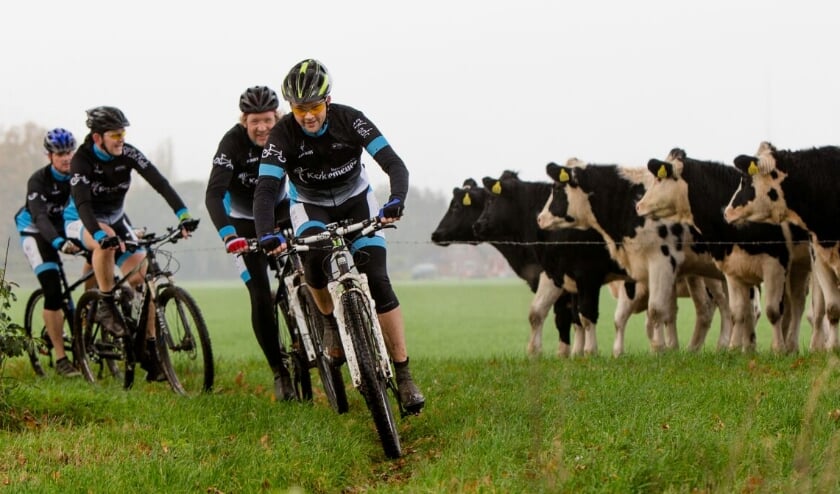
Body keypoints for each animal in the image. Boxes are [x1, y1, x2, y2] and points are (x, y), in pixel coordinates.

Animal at [537, 159, 733, 352]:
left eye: (556, 189)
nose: (540, 218)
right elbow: (662, 314)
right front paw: (667, 348)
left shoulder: (660, 262)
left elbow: (654, 311)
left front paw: (659, 350)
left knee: (721, 307)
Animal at [636, 148, 811, 353]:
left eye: (659, 179)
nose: (638, 206)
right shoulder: (734, 269)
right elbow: (738, 312)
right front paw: (736, 349)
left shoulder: (775, 265)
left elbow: (773, 311)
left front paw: (777, 350)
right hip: (799, 267)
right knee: (797, 302)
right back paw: (792, 347)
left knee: (799, 305)